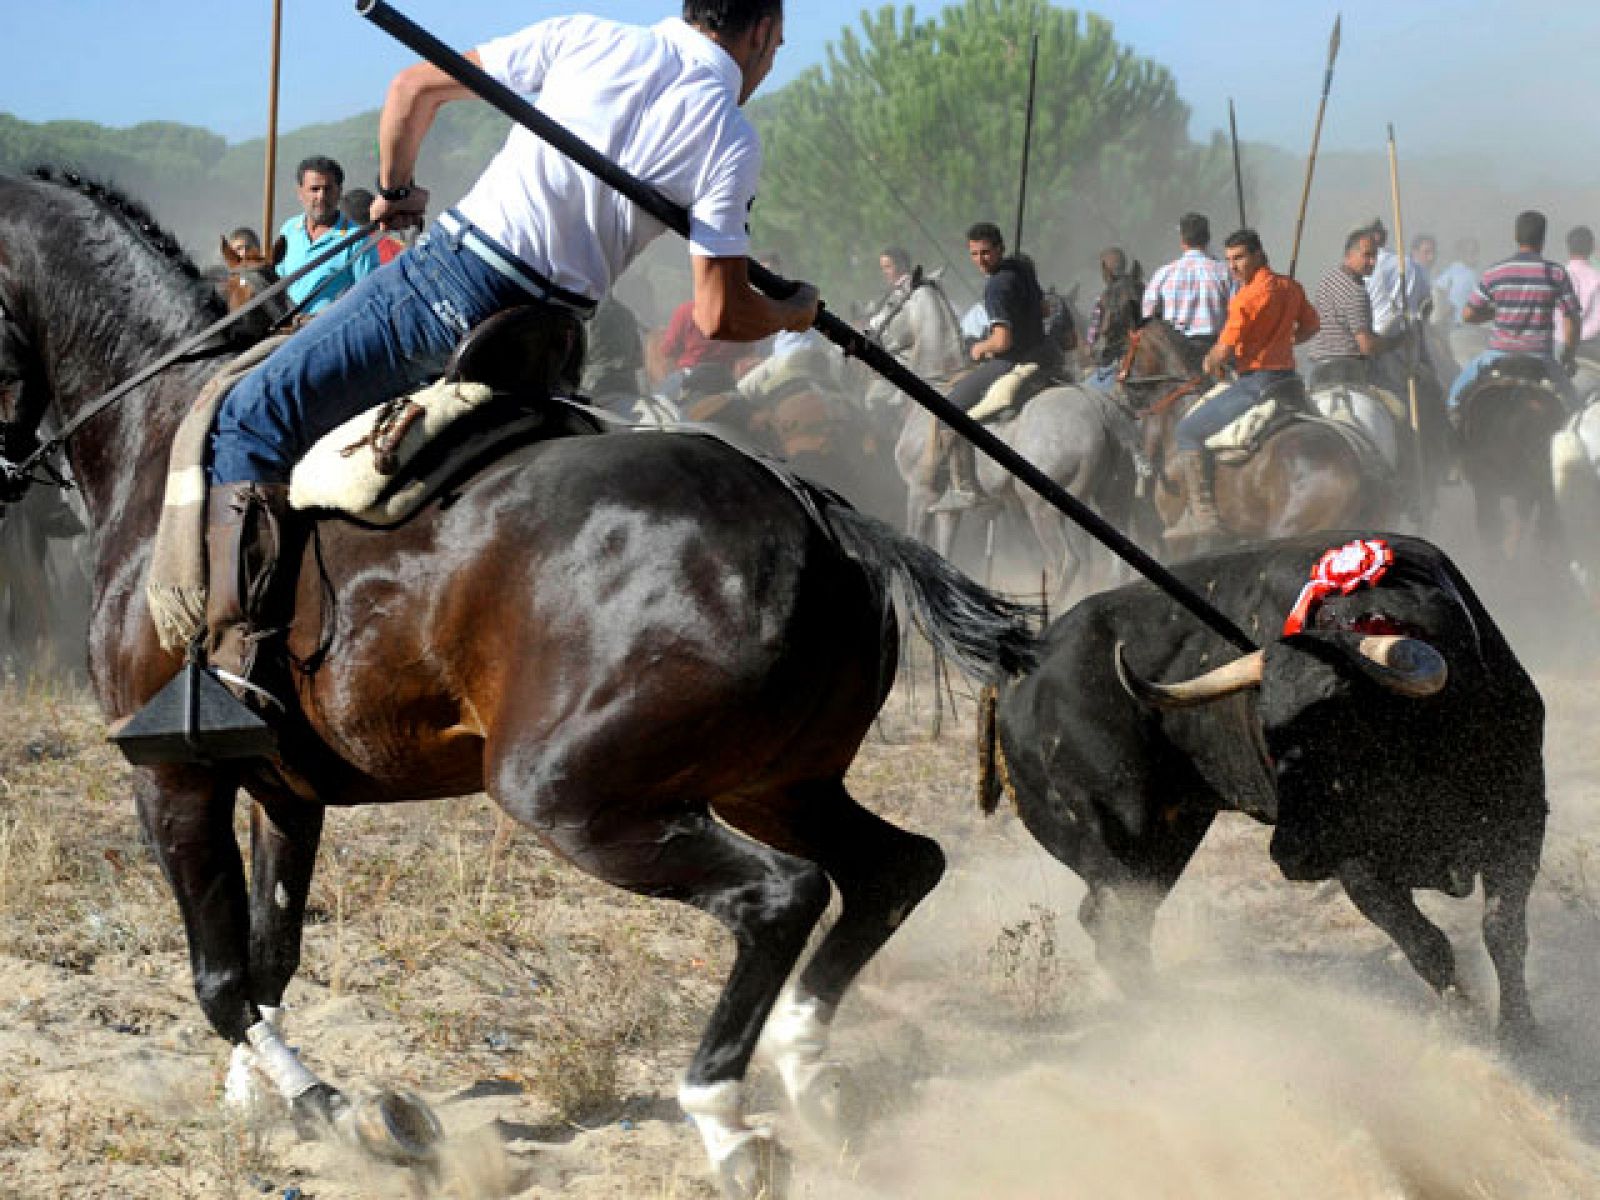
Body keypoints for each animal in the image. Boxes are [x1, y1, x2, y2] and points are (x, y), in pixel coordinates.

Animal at [0, 171, 1036, 1200]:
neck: (155, 429)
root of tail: (808, 507)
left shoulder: (173, 780)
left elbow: (221, 982)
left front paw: (344, 1114)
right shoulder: (283, 794)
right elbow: (268, 958)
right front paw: (254, 1097)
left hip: (573, 793)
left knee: (781, 896)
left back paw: (725, 1116)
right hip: (772, 781)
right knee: (896, 868)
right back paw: (806, 1070)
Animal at [979, 534, 1542, 1043]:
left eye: (1344, 724)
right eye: (1267, 734)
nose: (1289, 853)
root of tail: (1014, 674)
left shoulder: (1521, 821)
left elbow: (1503, 932)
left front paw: (1521, 1032)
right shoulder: (1356, 866)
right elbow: (1428, 946)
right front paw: (1472, 1032)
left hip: (1167, 840)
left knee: (1115, 923)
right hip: (1114, 840)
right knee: (1115, 926)